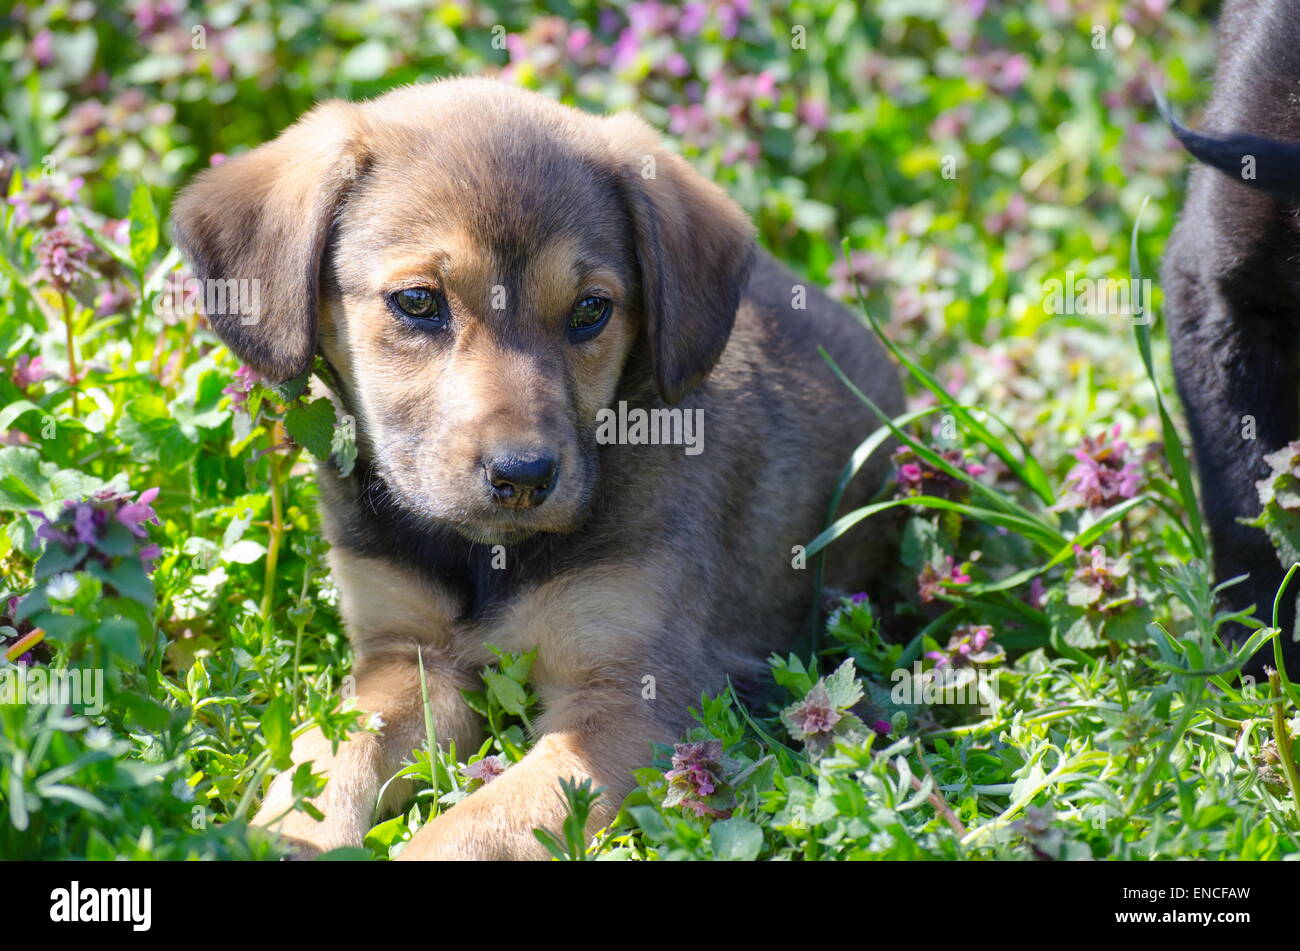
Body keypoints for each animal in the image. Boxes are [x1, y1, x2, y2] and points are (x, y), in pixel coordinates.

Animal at [170, 77, 904, 857]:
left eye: (590, 310)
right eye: (417, 301)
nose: (523, 478)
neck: (483, 558)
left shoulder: (631, 702)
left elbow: (471, 827)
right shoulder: (407, 658)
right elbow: (328, 761)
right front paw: (271, 833)